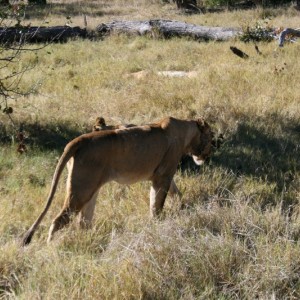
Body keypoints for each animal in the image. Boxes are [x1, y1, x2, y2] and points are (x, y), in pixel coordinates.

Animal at [22, 116, 213, 245]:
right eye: (211, 136)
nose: (209, 155)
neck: (186, 132)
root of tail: (79, 139)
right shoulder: (162, 176)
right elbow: (157, 203)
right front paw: (157, 222)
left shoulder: (165, 176)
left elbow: (175, 193)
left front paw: (183, 207)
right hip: (81, 189)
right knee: (59, 220)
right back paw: (52, 249)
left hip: (91, 189)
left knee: (83, 221)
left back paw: (89, 241)